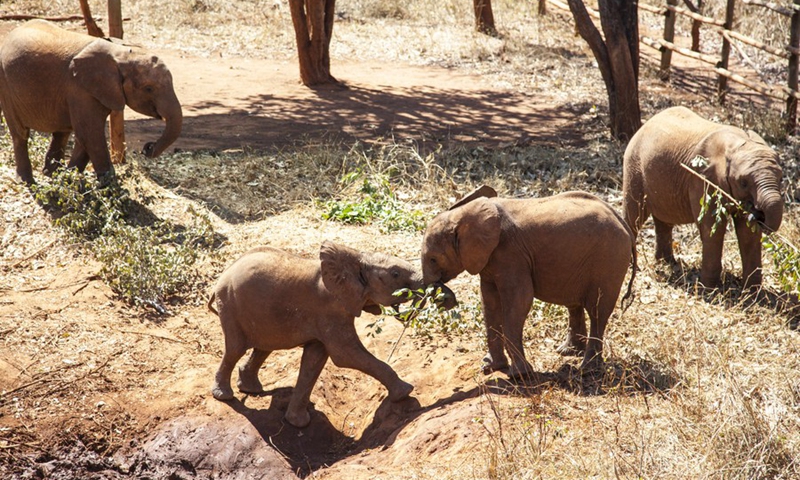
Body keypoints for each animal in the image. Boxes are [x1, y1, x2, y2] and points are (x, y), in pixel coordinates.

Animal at [0, 20, 182, 184]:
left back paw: (50, 175)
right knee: (20, 134)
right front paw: (109, 186)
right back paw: (26, 181)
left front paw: (69, 180)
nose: (147, 148)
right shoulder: (80, 90)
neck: (121, 54)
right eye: (149, 88)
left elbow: (86, 136)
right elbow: (90, 133)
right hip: (6, 85)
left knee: (61, 133)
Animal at [208, 241, 456, 428]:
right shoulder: (330, 310)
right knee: (236, 348)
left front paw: (298, 422)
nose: (448, 299)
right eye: (395, 274)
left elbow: (315, 359)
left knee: (263, 347)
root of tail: (221, 277)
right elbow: (345, 355)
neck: (357, 258)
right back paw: (224, 396)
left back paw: (251, 389)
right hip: (230, 304)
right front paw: (406, 391)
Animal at [421, 185, 636, 378]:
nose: (444, 297)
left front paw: (519, 375)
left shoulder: (510, 254)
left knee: (597, 311)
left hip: (609, 259)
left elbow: (519, 301)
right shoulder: (490, 260)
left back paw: (587, 370)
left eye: (433, 259)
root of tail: (622, 222)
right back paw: (568, 352)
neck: (462, 214)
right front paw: (490, 367)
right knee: (574, 304)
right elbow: (489, 302)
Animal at [623, 106, 783, 290]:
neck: (737, 145)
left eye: (781, 179)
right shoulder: (702, 179)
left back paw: (667, 263)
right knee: (635, 213)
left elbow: (747, 232)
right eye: (743, 183)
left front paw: (752, 292)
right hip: (634, 165)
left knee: (664, 220)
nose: (758, 214)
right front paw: (709, 289)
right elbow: (713, 227)